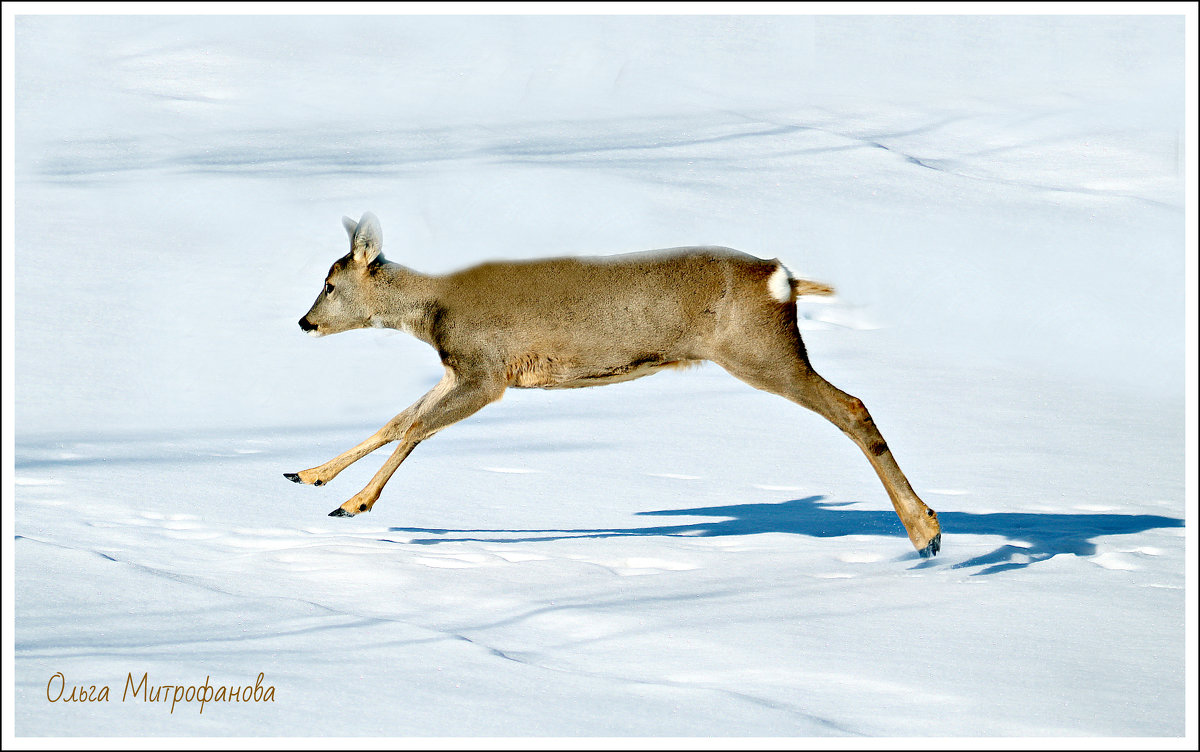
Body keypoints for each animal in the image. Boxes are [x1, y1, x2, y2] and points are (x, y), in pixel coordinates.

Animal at [285, 214, 940, 556]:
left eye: (330, 284)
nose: (304, 322)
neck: (432, 315)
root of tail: (781, 278)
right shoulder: (458, 371)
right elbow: (395, 420)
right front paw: (308, 474)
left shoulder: (486, 372)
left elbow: (417, 428)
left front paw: (354, 503)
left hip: (759, 351)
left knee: (852, 405)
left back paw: (926, 532)